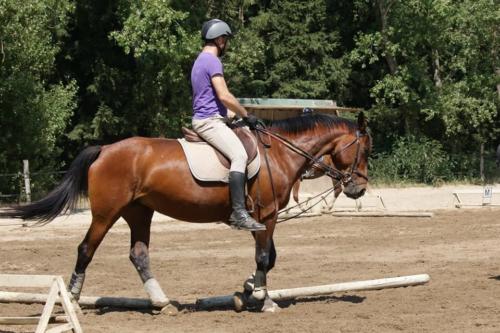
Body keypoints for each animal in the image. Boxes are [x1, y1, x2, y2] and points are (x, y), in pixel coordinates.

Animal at [0, 112, 372, 312]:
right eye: (365, 149)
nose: (359, 189)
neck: (280, 153)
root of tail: (104, 149)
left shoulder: (263, 219)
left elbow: (267, 259)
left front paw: (247, 290)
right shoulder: (267, 216)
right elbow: (265, 257)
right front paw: (263, 299)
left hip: (139, 212)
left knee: (138, 254)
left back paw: (162, 302)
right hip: (107, 212)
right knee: (86, 249)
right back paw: (74, 300)